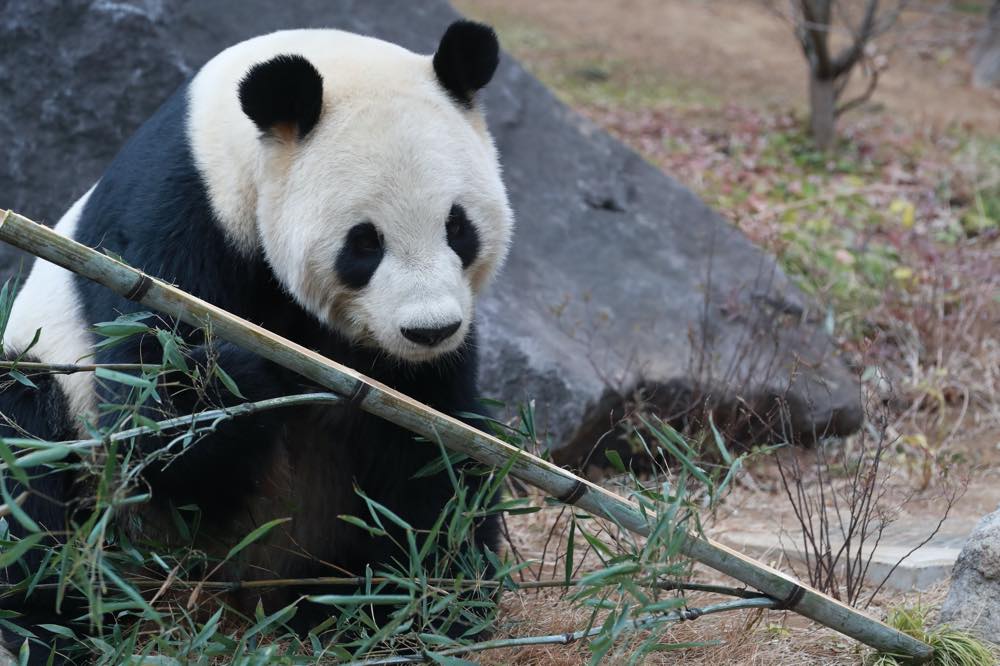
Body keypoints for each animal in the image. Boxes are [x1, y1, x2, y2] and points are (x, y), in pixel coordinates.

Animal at [0, 20, 512, 660]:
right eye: (365, 242)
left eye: (458, 227)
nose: (429, 329)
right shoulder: (171, 221)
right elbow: (153, 416)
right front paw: (229, 379)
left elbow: (435, 454)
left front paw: (435, 600)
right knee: (28, 456)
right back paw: (59, 621)